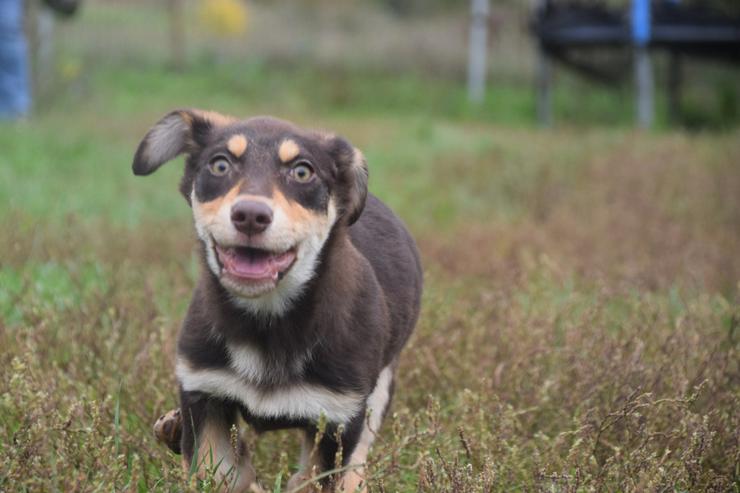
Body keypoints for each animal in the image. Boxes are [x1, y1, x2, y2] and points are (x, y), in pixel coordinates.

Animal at [133, 109, 422, 490]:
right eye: (220, 165)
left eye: (302, 171)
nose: (250, 215)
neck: (267, 322)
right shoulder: (204, 391)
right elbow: (222, 475)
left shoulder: (336, 418)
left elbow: (315, 477)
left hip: (380, 389)